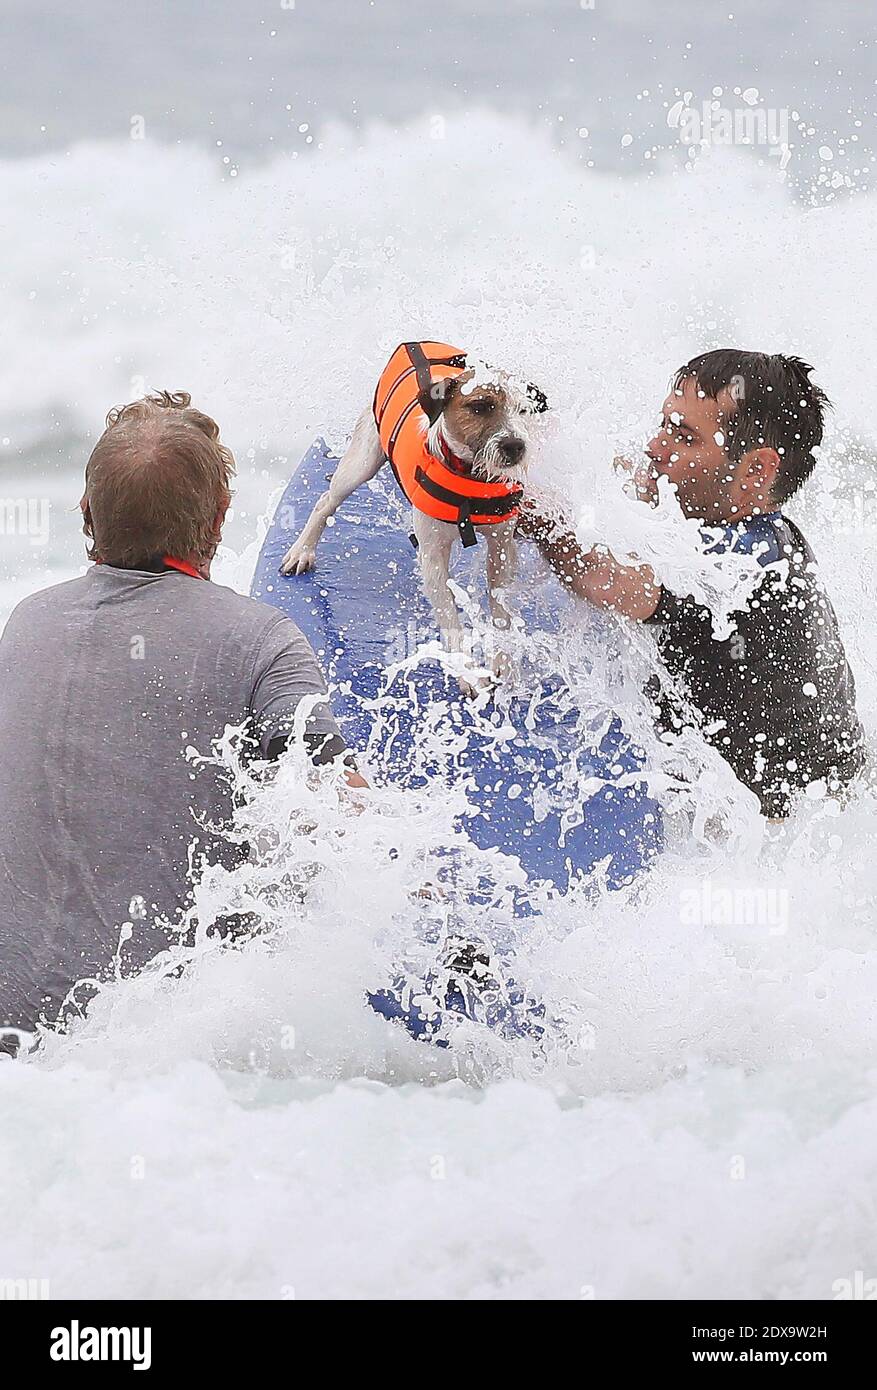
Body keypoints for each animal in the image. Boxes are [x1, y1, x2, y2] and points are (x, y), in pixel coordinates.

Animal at [277, 339, 544, 692]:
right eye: (481, 406)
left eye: (524, 410)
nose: (516, 445)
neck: (470, 479)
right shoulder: (433, 558)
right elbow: (451, 619)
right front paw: (468, 671)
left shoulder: (501, 548)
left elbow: (500, 605)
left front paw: (505, 660)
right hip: (360, 463)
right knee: (325, 502)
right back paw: (302, 551)